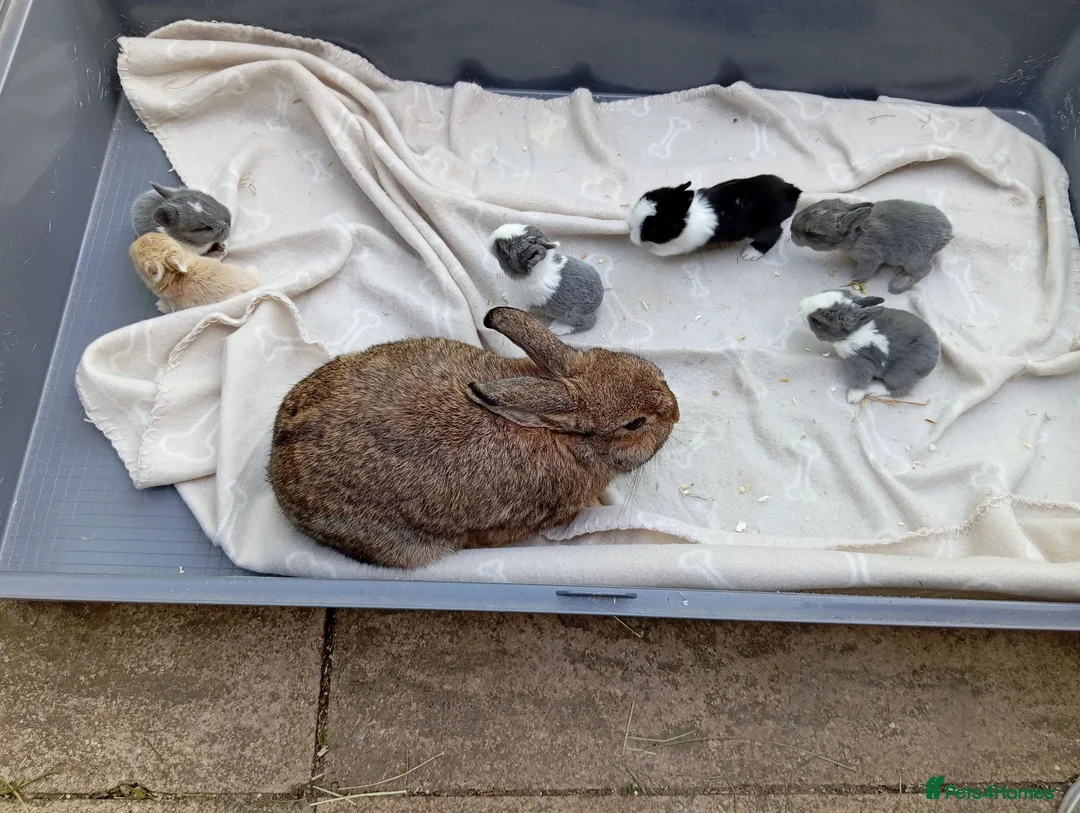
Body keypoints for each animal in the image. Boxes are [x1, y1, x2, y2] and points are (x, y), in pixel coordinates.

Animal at [628, 174, 801, 260]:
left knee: (774, 234)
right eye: (648, 196)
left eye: (653, 227)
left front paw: (653, 251)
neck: (686, 217)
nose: (630, 227)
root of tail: (791, 192)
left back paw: (750, 253)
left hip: (764, 228)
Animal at [790, 198, 953, 293]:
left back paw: (897, 285)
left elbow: (865, 271)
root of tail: (948, 233)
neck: (857, 232)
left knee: (923, 270)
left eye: (812, 234)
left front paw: (854, 280)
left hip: (914, 259)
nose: (791, 230)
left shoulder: (870, 257)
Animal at [799, 289, 940, 404]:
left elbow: (860, 381)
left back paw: (874, 389)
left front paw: (853, 397)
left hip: (900, 373)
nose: (800, 307)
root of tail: (935, 357)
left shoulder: (862, 363)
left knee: (899, 390)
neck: (854, 332)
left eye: (817, 321)